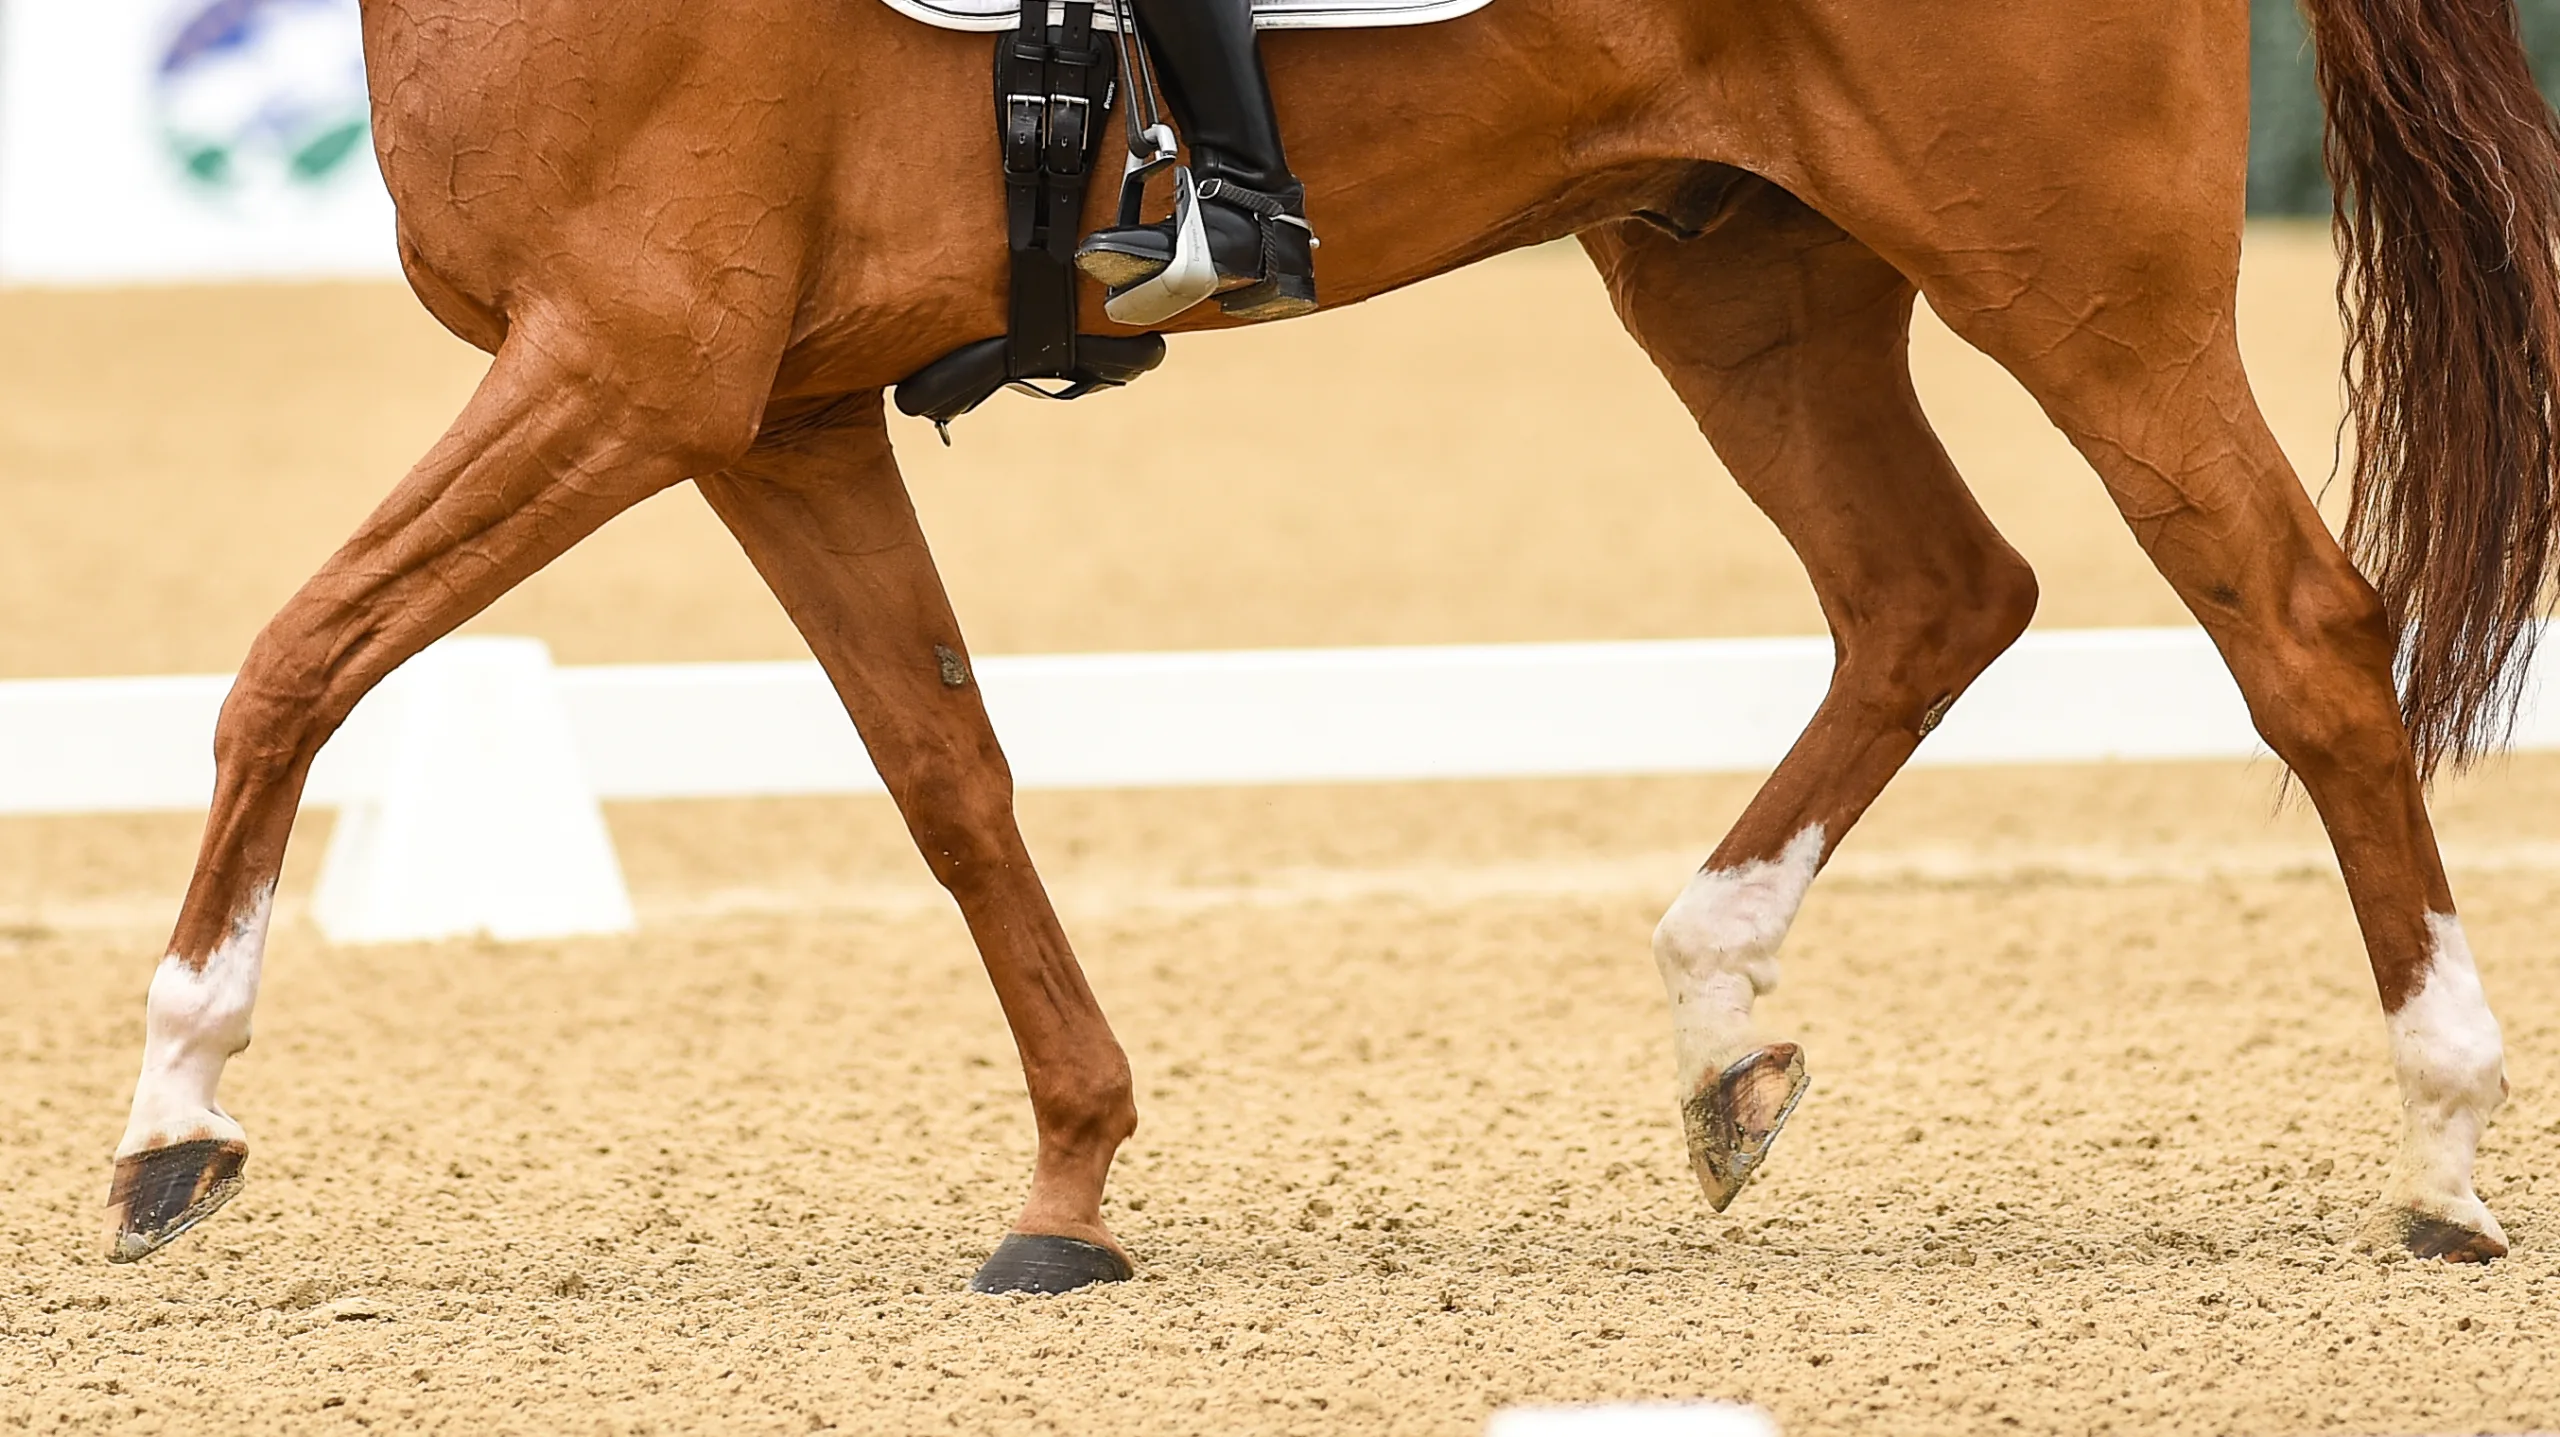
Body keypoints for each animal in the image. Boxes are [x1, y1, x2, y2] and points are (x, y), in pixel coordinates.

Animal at [110, 0, 2560, 1290]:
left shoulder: (628, 364)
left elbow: (289, 664)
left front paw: (172, 1113)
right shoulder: (768, 414)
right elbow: (944, 774)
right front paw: (1070, 1182)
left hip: (2068, 267)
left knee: (2299, 627)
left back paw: (2442, 1148)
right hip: (1736, 255)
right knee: (1931, 591)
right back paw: (1717, 1027)